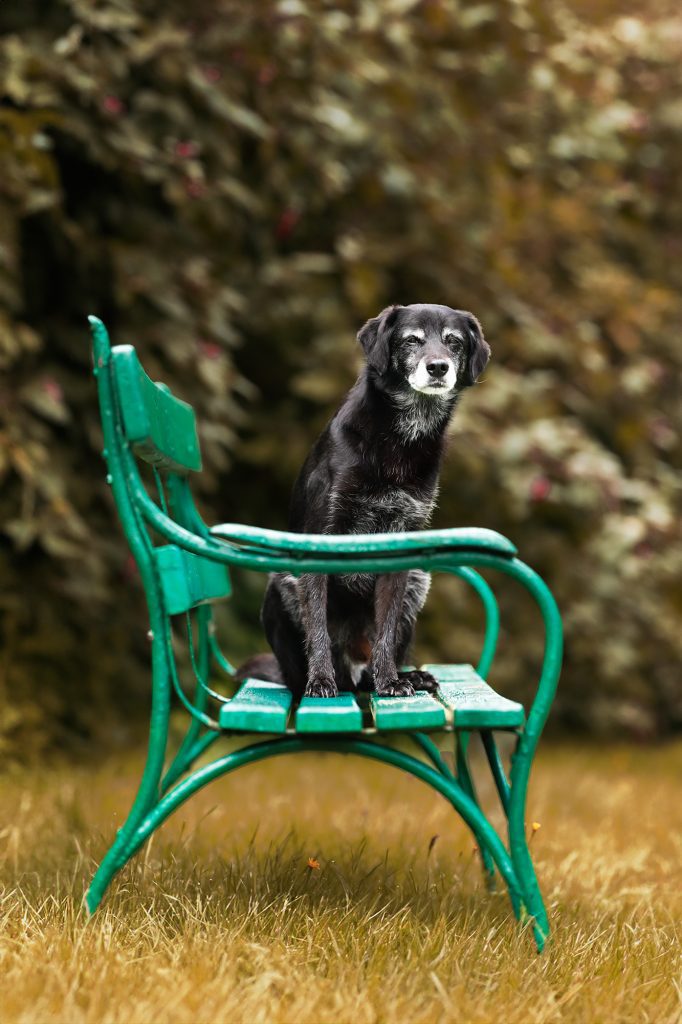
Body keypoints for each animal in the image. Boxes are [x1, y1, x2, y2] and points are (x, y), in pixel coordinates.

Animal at [237, 303, 489, 700]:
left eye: (454, 342)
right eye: (411, 340)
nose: (438, 367)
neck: (401, 438)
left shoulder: (400, 549)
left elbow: (385, 630)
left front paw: (390, 681)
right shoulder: (320, 541)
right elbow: (318, 628)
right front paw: (320, 681)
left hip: (418, 581)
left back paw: (401, 677)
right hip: (282, 583)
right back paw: (320, 681)